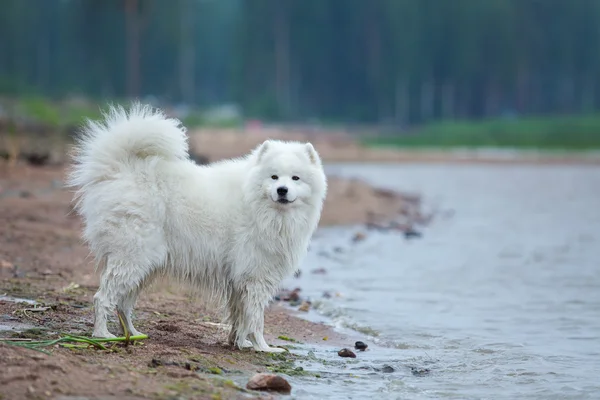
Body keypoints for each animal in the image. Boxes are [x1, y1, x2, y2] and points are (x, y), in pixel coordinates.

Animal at [67, 104, 326, 354]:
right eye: (274, 177)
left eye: (295, 178)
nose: (282, 190)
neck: (260, 206)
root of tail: (121, 169)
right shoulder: (256, 277)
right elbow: (255, 320)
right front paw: (264, 347)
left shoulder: (240, 282)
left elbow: (240, 318)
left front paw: (239, 343)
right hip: (133, 257)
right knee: (102, 298)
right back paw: (102, 335)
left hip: (145, 265)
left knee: (123, 304)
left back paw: (133, 335)